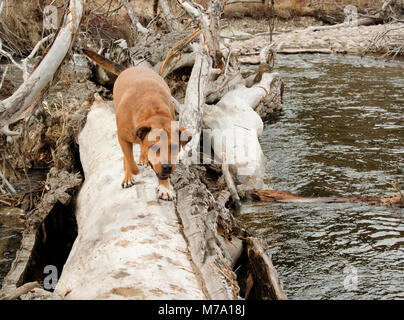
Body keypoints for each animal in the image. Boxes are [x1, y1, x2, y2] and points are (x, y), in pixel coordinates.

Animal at [83, 49, 192, 200]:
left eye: (174, 147)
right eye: (155, 147)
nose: (167, 167)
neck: (154, 111)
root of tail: (131, 68)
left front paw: (164, 187)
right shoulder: (123, 138)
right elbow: (129, 159)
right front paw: (131, 173)